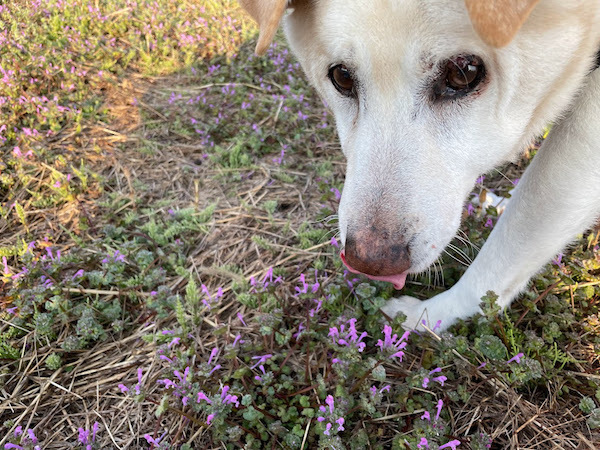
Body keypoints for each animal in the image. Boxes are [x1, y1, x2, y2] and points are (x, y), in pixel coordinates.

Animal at [239, 0, 600, 330]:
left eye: (463, 72)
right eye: (341, 76)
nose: (369, 264)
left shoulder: (584, 144)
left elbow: (506, 252)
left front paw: (430, 316)